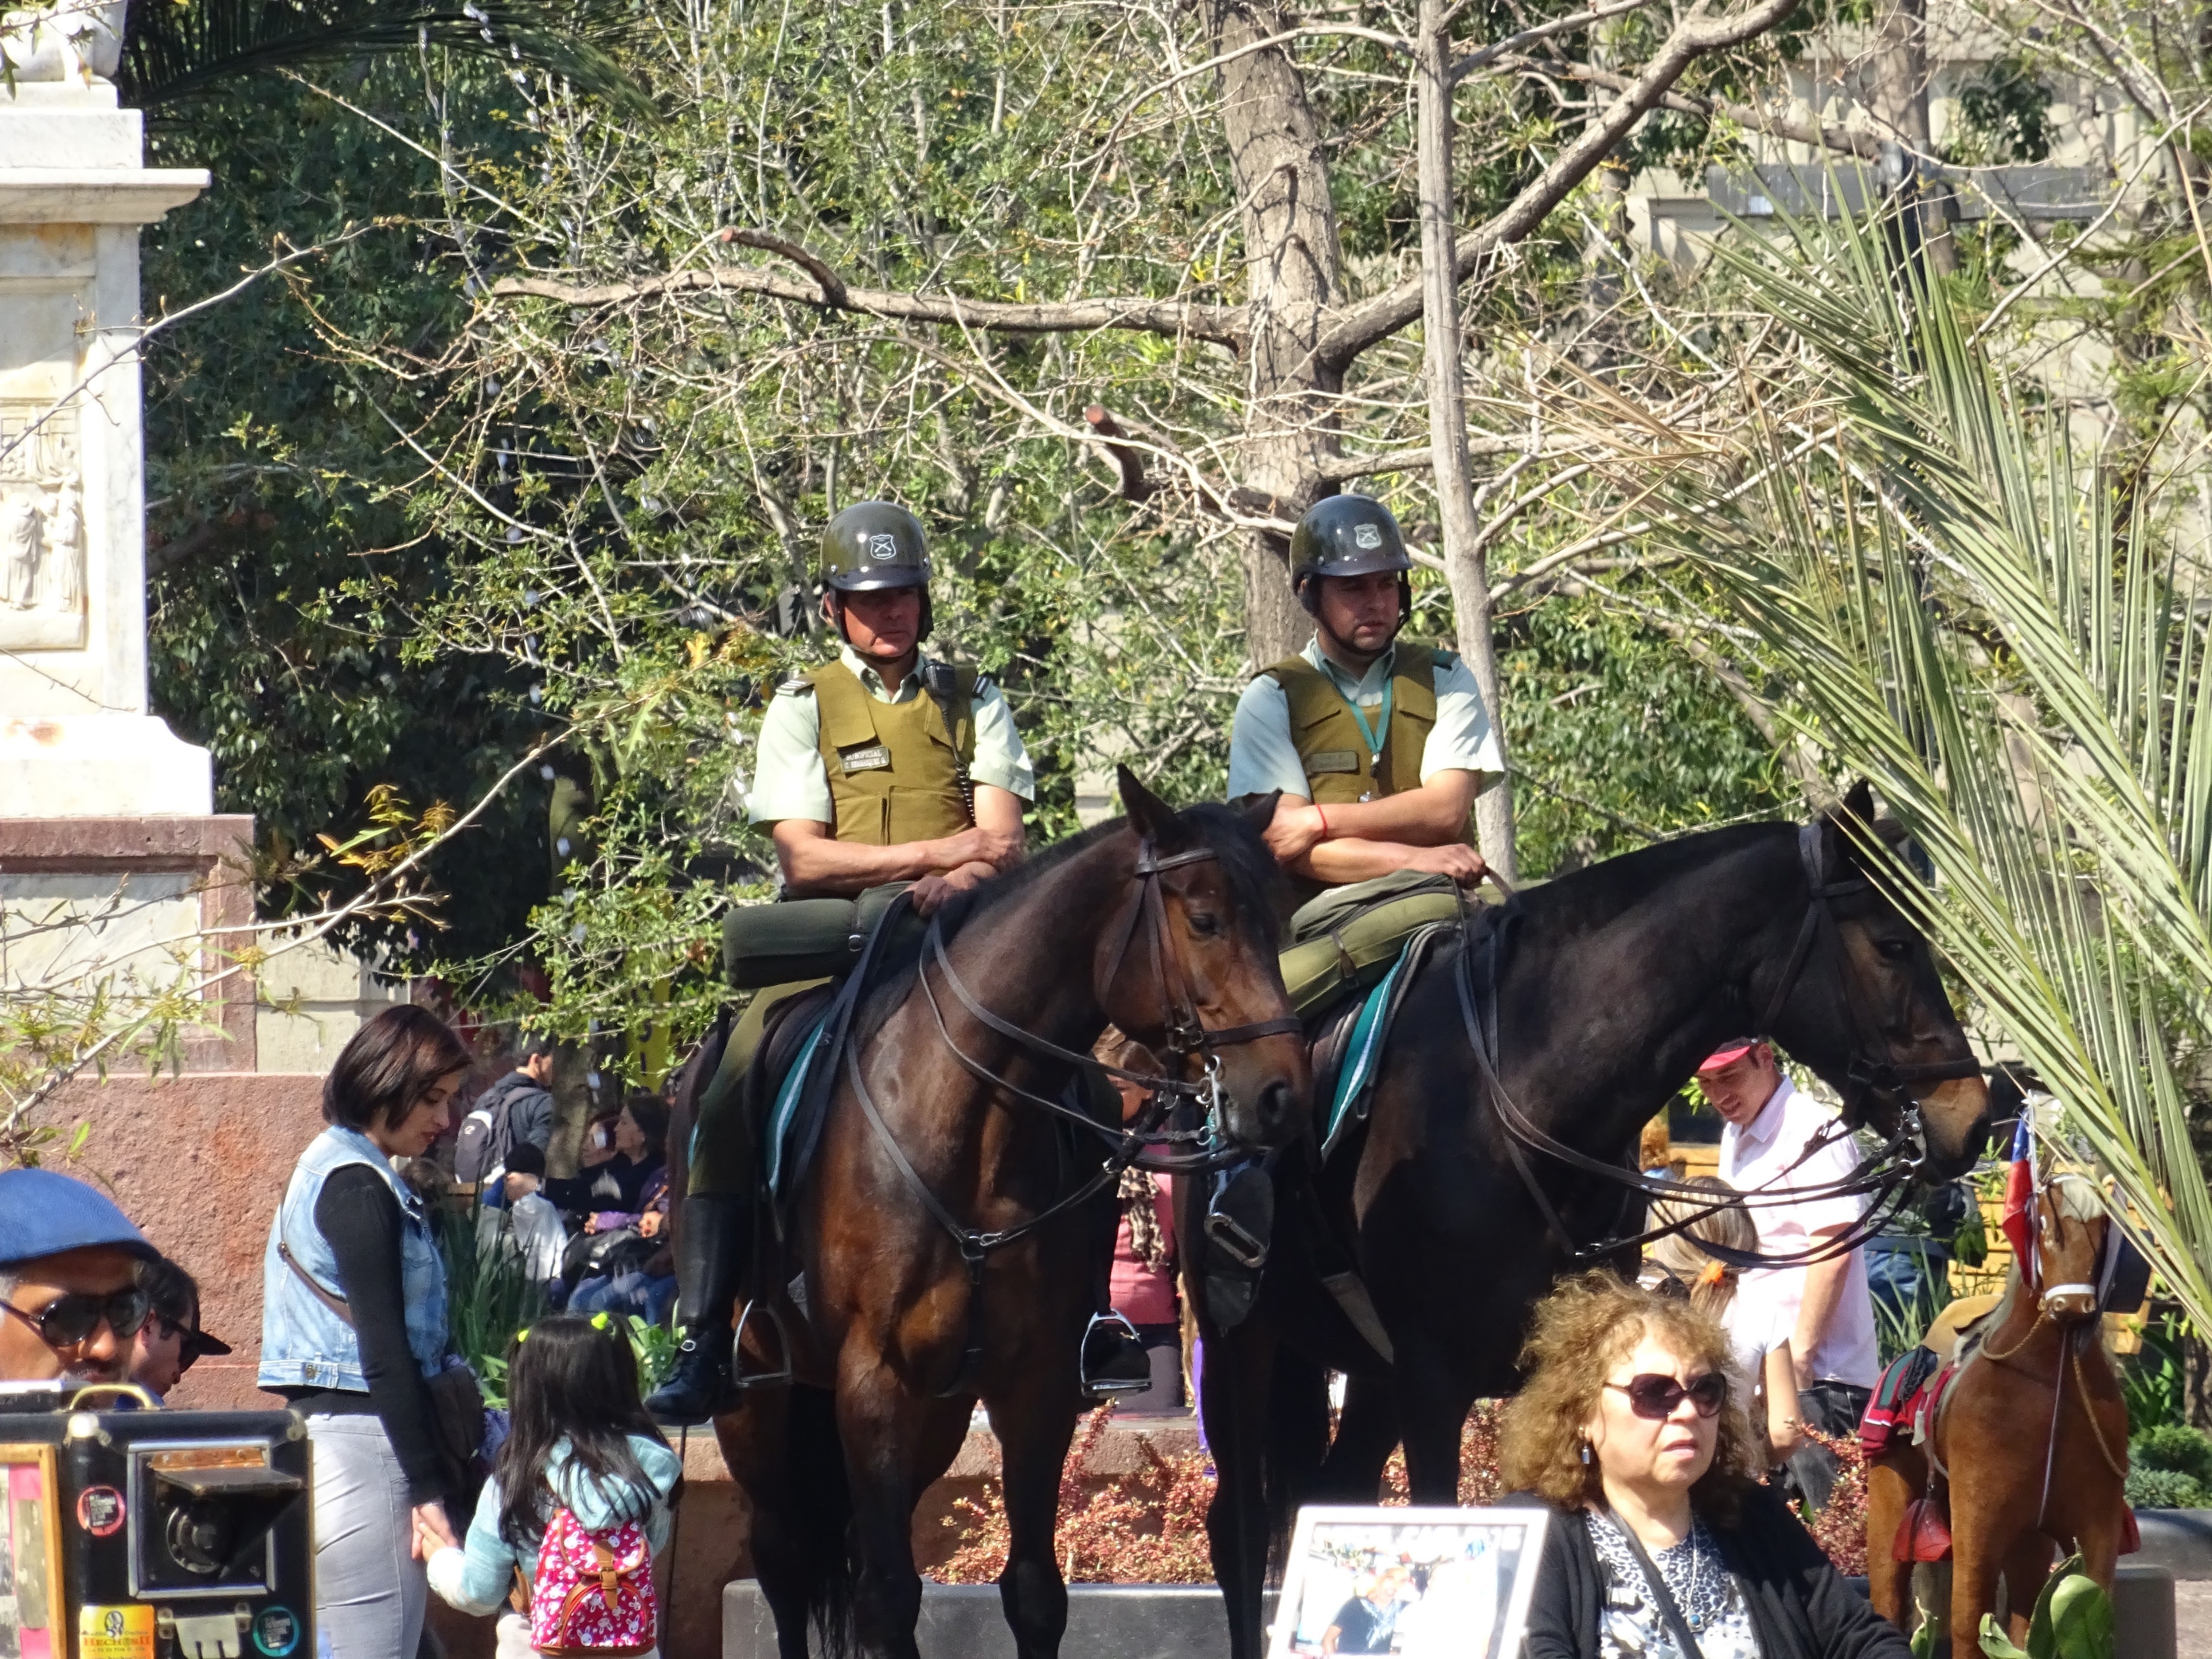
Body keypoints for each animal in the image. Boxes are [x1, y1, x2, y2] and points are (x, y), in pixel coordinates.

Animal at [695, 774, 1309, 1659]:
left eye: (1281, 921)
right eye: (1204, 919)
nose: (1282, 1094)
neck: (970, 1118)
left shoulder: (1033, 1380)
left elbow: (1033, 1591)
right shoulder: (871, 1379)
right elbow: (887, 1596)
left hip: (938, 1413)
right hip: (758, 1408)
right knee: (781, 1558)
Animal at [1194, 792, 2008, 1659]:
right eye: (1892, 944)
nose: (1970, 1117)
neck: (1506, 1100)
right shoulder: (1432, 1380)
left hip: (1364, 1374)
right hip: (1240, 1344)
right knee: (1239, 1526)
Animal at [1867, 1177, 2123, 1654]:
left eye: (2103, 1229)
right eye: (2043, 1224)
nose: (2073, 1306)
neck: (2049, 1384)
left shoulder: (2097, 1528)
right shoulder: (1979, 1525)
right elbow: (1970, 1623)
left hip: (2028, 1542)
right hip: (1892, 1504)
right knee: (1887, 1595)